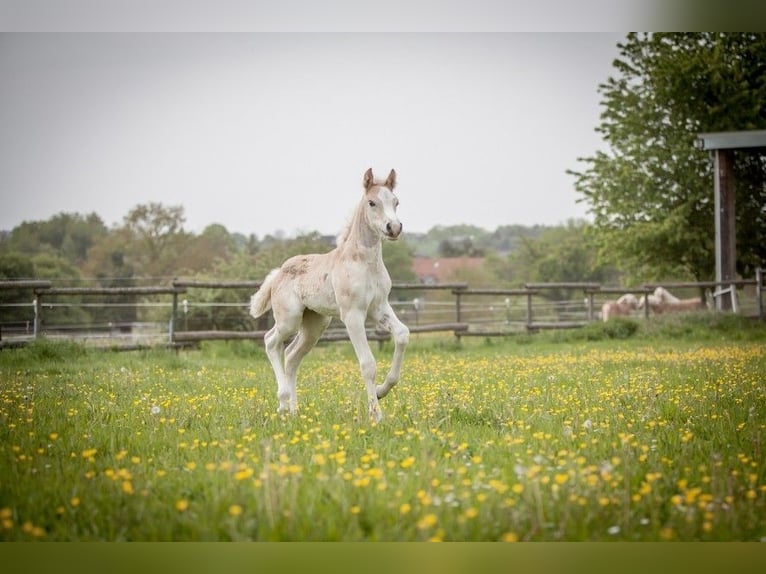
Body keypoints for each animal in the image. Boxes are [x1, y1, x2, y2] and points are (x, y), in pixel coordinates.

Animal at [249, 168, 412, 424]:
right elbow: (368, 364)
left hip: (315, 324)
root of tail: (278, 273)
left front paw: (381, 391)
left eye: (396, 202)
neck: (363, 262)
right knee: (270, 341)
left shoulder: (379, 308)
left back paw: (294, 411)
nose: (393, 228)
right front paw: (376, 415)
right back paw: (283, 402)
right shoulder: (353, 315)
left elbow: (403, 335)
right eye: (372, 202)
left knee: (291, 355)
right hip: (290, 319)